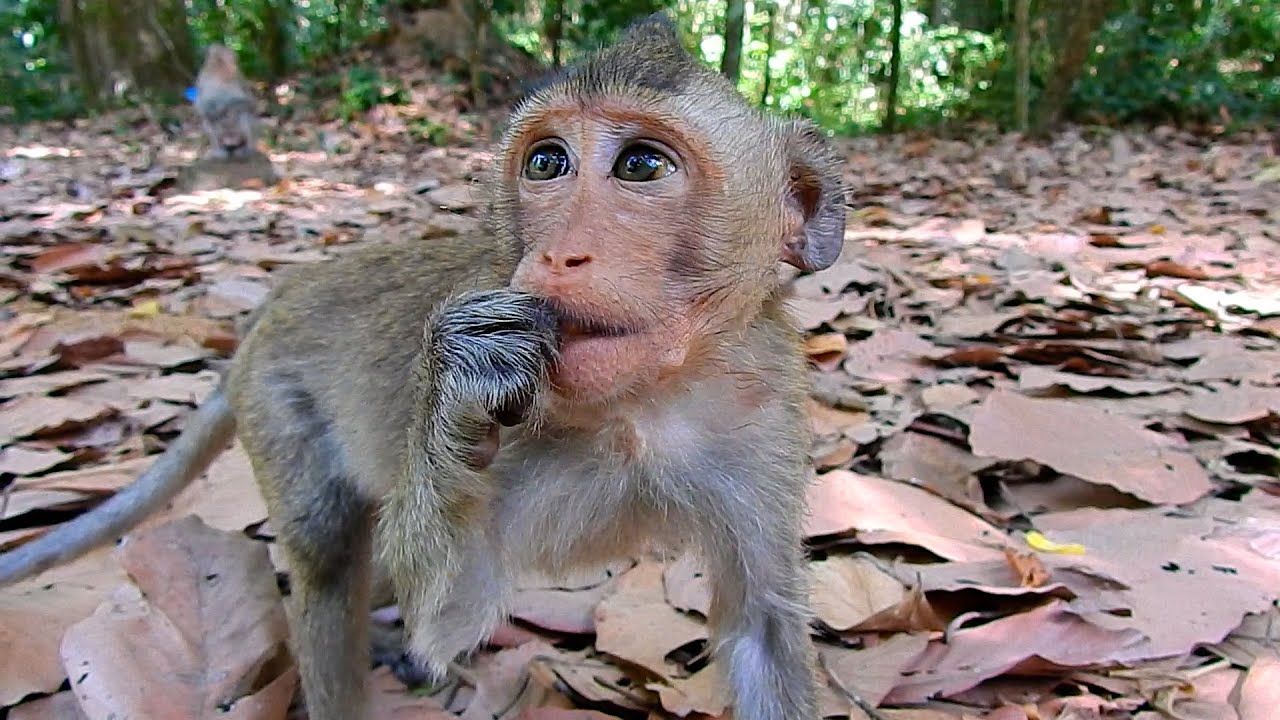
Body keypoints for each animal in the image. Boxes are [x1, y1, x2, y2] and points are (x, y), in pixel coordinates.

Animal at [0, 14, 847, 720]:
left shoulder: (765, 416)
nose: (558, 254)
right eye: (548, 161)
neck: (643, 407)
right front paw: (464, 372)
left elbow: (762, 629)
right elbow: (447, 611)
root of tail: (273, 305)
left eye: (641, 165)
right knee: (327, 556)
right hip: (277, 400)